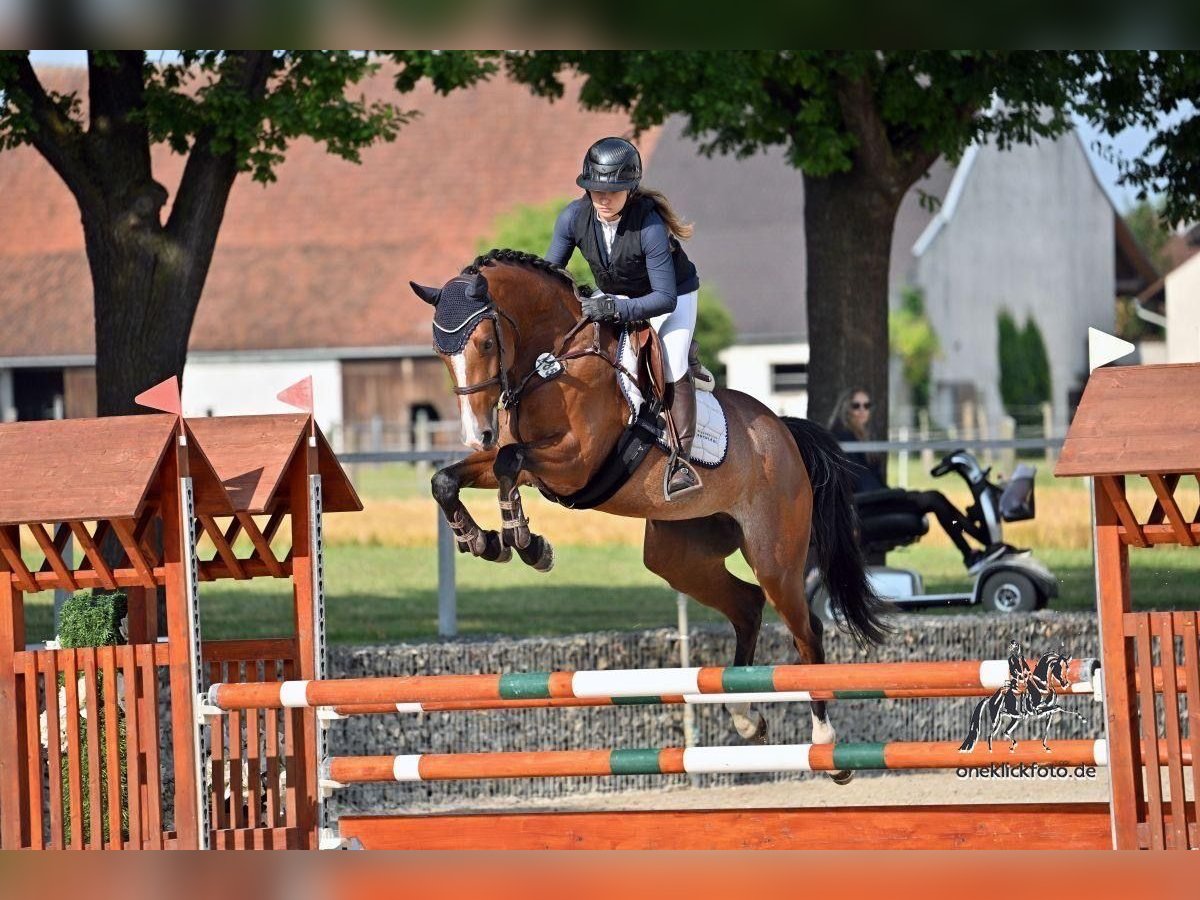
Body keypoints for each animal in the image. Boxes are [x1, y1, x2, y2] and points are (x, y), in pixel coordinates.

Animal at [411, 249, 888, 783]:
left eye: (487, 341)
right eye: (439, 352)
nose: (477, 434)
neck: (552, 363)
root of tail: (783, 432)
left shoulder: (574, 464)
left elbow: (508, 463)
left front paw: (526, 543)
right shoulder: (532, 464)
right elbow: (451, 478)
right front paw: (483, 541)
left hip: (774, 556)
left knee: (807, 633)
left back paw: (826, 746)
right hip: (679, 555)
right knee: (746, 605)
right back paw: (745, 718)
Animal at [958, 649, 1089, 753]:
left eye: (1067, 667)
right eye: (1058, 667)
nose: (1066, 684)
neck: (1042, 685)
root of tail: (991, 697)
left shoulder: (1047, 711)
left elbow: (1050, 721)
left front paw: (1045, 746)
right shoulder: (1039, 709)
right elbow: (1059, 707)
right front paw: (1082, 718)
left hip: (1015, 717)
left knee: (1004, 732)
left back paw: (1012, 746)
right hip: (1000, 717)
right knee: (991, 734)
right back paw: (994, 751)